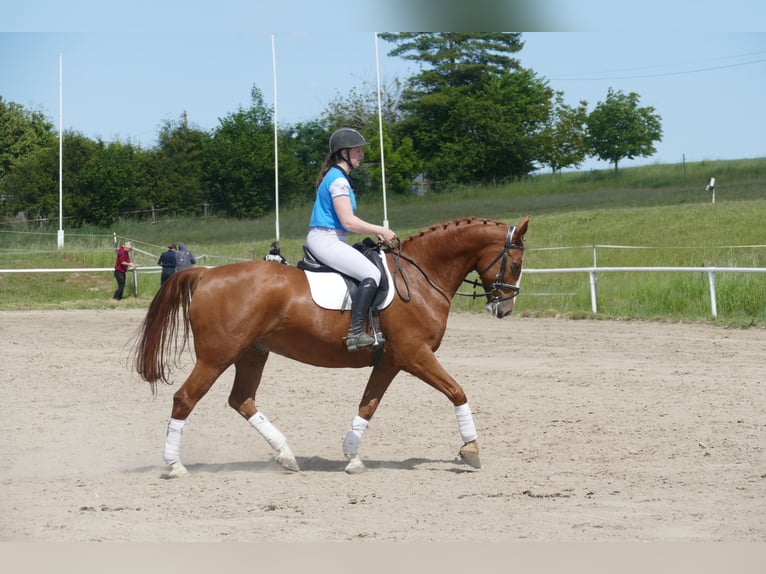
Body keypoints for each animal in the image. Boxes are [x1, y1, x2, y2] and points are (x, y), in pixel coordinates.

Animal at [133, 215, 529, 477]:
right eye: (516, 262)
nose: (504, 308)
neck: (419, 278)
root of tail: (207, 274)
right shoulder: (416, 355)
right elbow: (457, 391)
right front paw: (471, 450)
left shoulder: (391, 361)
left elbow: (368, 405)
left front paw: (352, 456)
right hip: (217, 356)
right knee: (185, 398)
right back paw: (174, 465)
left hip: (252, 353)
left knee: (241, 400)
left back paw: (286, 455)